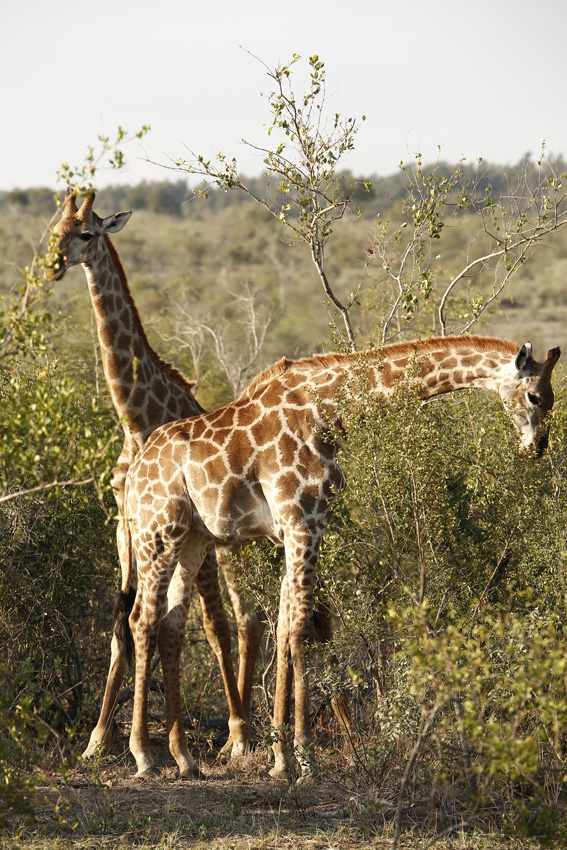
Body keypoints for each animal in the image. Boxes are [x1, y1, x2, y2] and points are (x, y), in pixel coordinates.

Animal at [45, 190, 256, 775]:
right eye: (54, 228)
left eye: (87, 233)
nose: (54, 264)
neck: (135, 420)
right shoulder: (124, 528)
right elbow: (124, 626)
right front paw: (99, 740)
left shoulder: (168, 532)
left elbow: (175, 626)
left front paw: (156, 745)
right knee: (210, 621)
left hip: (226, 548)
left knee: (237, 620)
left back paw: (242, 733)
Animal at [120, 335, 559, 778]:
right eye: (536, 396)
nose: (538, 448)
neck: (329, 410)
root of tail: (132, 473)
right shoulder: (303, 522)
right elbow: (301, 630)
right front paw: (304, 757)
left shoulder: (296, 528)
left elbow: (285, 630)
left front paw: (281, 757)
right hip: (158, 532)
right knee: (142, 620)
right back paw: (143, 755)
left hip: (193, 537)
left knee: (172, 625)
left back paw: (184, 757)